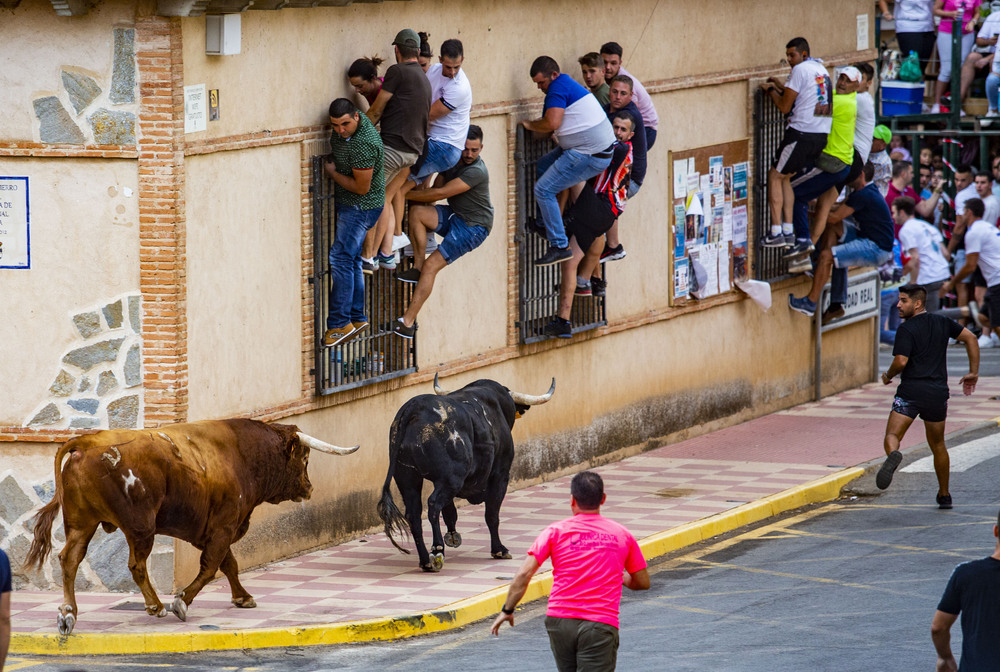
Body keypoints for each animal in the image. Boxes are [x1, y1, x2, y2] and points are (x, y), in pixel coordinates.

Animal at [22, 418, 360, 632]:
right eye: (304, 457)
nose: (309, 488)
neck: (242, 453)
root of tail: (88, 441)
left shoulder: (211, 530)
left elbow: (229, 564)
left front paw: (243, 597)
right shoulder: (223, 526)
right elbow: (212, 567)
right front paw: (181, 601)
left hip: (82, 524)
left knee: (69, 559)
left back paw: (68, 614)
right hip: (140, 528)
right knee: (136, 565)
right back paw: (156, 605)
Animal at [376, 376, 556, 568]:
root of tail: (414, 408)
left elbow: (450, 511)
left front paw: (453, 536)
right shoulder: (500, 474)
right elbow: (492, 514)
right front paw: (499, 549)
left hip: (408, 479)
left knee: (414, 514)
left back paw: (425, 561)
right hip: (451, 479)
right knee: (433, 505)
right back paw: (437, 550)